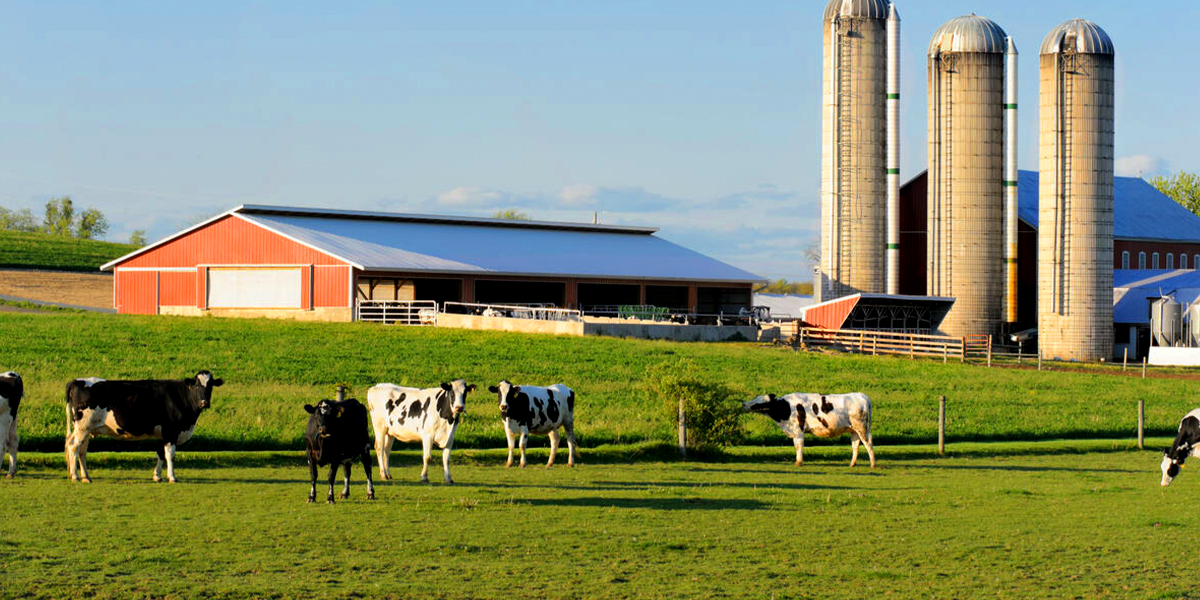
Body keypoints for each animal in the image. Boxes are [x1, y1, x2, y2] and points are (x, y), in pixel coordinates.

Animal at [64, 369, 224, 482]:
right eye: (196, 385)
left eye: (210, 386)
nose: (204, 402)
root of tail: (77, 381)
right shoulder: (171, 432)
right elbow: (170, 455)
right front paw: (172, 477)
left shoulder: (162, 434)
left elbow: (160, 454)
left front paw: (157, 476)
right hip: (83, 427)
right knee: (73, 447)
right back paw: (75, 476)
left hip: (86, 429)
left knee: (82, 451)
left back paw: (86, 477)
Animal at [739, 393, 873, 468]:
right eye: (756, 398)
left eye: (759, 402)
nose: (744, 404)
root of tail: (861, 395)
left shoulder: (798, 430)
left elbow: (799, 446)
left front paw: (798, 463)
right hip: (853, 430)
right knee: (856, 445)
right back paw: (852, 464)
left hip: (861, 427)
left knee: (868, 443)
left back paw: (872, 464)